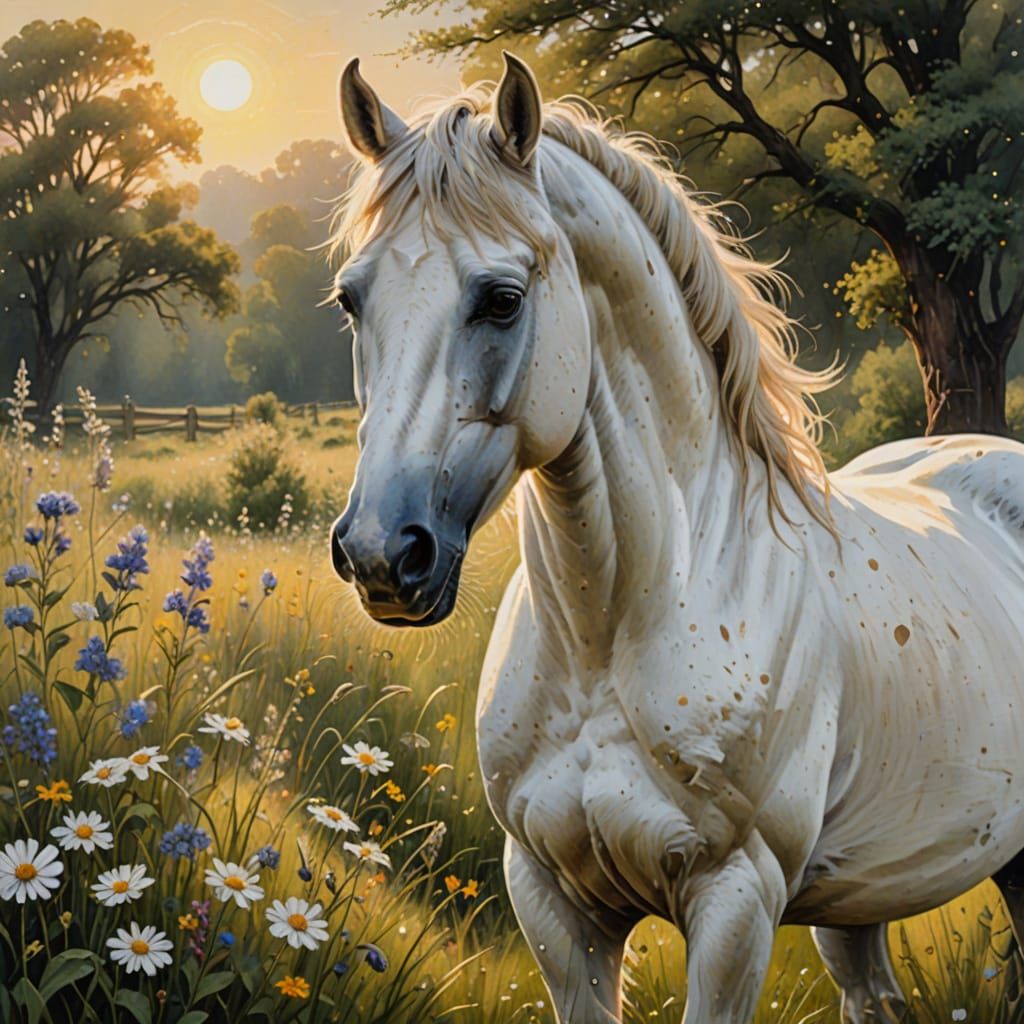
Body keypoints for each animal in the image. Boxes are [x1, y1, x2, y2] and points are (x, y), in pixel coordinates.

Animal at [327, 52, 1024, 1023]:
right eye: (353, 298)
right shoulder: (554, 904)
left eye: (501, 300)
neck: (616, 631)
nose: (383, 556)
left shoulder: (735, 905)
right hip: (861, 902)